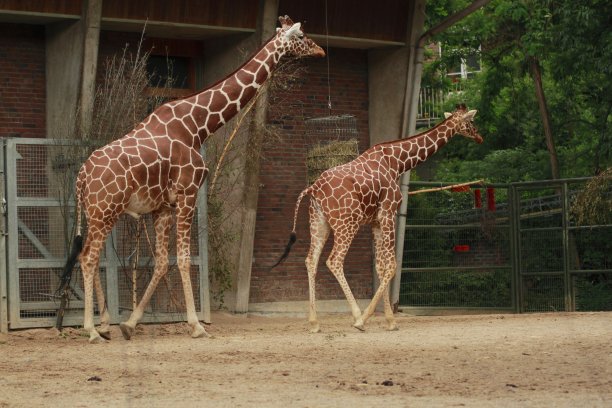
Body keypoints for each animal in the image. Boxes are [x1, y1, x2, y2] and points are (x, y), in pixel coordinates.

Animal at [63, 15, 326, 342]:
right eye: (301, 36)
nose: (321, 51)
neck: (198, 125)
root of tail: (81, 177)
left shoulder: (163, 207)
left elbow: (162, 262)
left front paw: (130, 324)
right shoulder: (187, 194)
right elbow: (184, 259)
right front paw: (197, 326)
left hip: (96, 212)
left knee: (91, 256)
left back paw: (105, 324)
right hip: (105, 211)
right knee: (88, 257)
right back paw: (91, 329)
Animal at [272, 103, 482, 334]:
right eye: (471, 121)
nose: (480, 137)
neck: (398, 162)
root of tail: (313, 189)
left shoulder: (375, 221)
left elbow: (381, 267)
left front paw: (390, 320)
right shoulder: (388, 213)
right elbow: (392, 265)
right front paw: (369, 319)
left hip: (319, 223)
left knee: (311, 260)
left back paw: (314, 322)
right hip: (347, 223)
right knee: (334, 260)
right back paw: (356, 316)